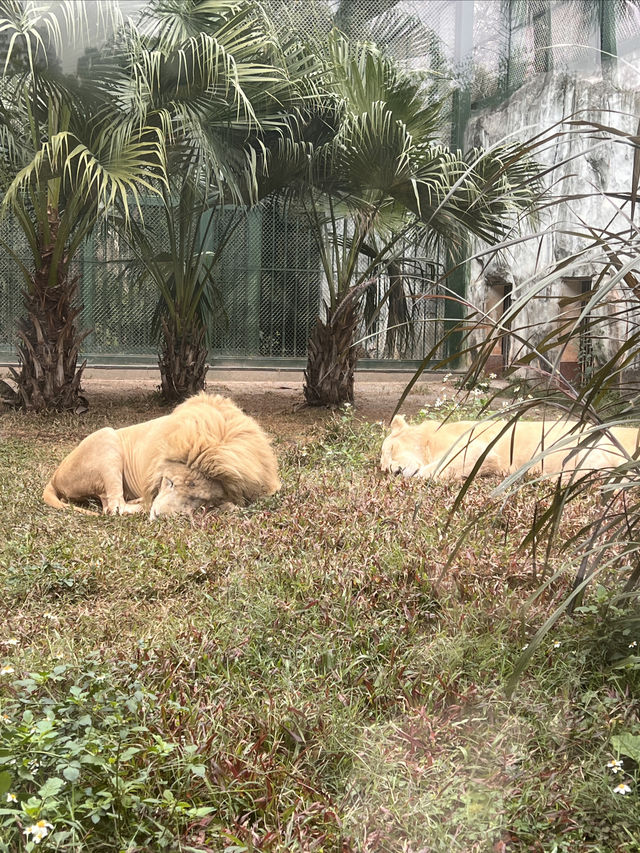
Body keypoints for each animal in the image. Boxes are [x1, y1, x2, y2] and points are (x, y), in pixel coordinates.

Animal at [41, 392, 278, 520]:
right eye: (170, 482)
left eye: (198, 499)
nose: (159, 516)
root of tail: (54, 478)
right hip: (107, 438)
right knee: (114, 507)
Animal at [380, 414, 640, 482]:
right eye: (382, 467)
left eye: (390, 449)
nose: (392, 471)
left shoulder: (481, 447)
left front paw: (421, 473)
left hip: (594, 442)